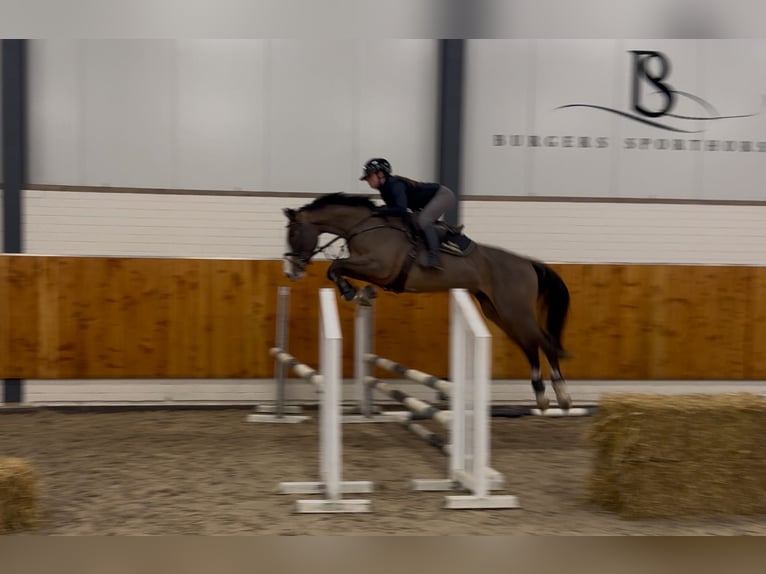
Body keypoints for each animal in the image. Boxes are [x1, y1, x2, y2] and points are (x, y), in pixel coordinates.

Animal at [282, 193, 572, 411]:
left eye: (294, 233)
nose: (291, 272)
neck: (363, 225)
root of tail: (528, 263)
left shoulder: (379, 267)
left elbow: (336, 266)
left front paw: (351, 293)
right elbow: (337, 268)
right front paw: (360, 295)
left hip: (515, 310)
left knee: (543, 341)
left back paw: (562, 396)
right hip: (497, 311)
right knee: (529, 344)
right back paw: (542, 396)